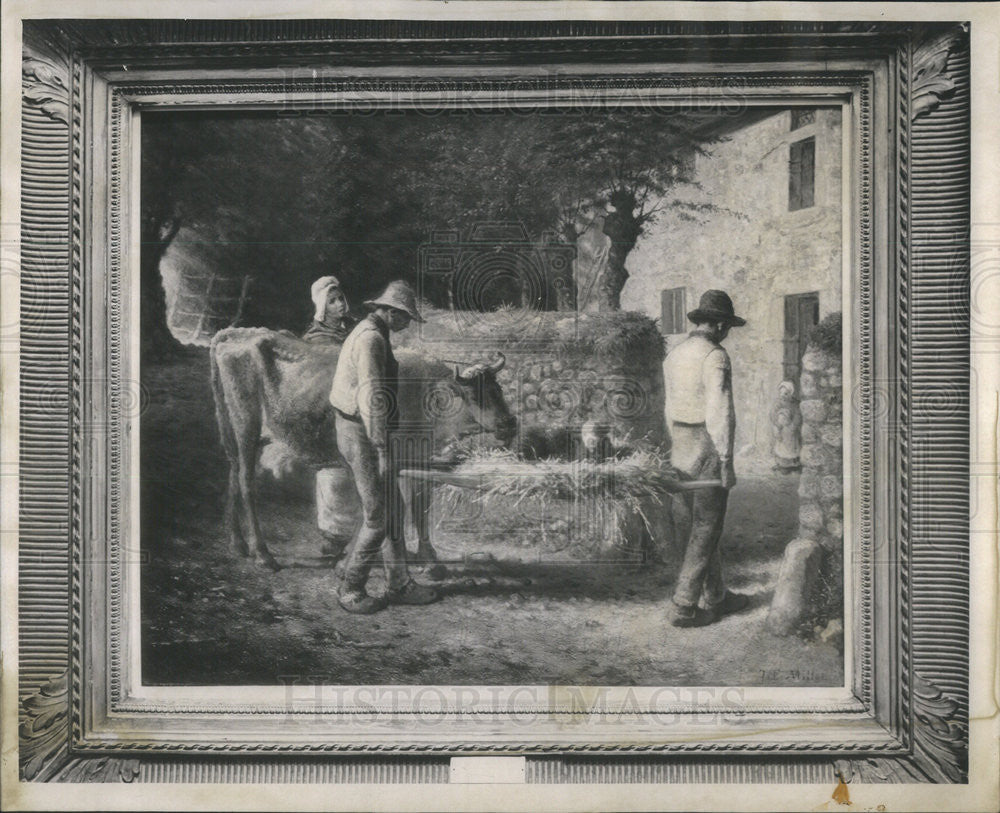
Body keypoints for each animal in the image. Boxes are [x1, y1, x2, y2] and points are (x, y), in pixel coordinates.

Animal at [209, 326, 516, 568]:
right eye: (473, 396)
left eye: (498, 390)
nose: (509, 424)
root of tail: (236, 334)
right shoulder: (396, 460)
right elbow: (403, 506)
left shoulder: (415, 461)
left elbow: (418, 506)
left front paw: (423, 556)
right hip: (246, 429)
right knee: (246, 483)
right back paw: (263, 556)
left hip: (240, 436)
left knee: (232, 476)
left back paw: (238, 545)